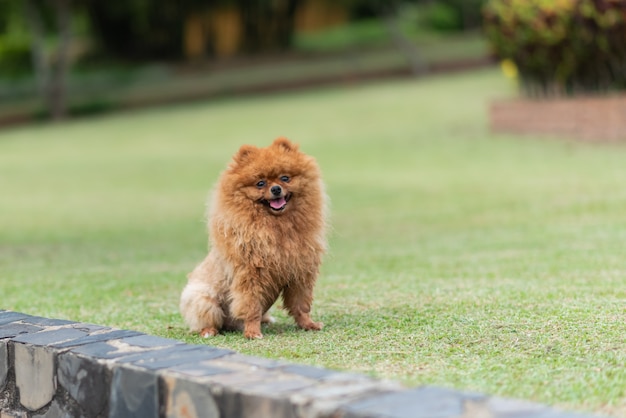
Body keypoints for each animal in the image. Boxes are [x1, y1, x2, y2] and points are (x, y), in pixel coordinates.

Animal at [179, 138, 326, 340]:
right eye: (260, 183)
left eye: (285, 178)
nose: (276, 188)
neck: (278, 227)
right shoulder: (250, 276)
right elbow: (251, 307)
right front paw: (252, 332)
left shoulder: (300, 274)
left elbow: (300, 306)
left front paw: (308, 324)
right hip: (203, 300)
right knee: (207, 320)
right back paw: (209, 331)